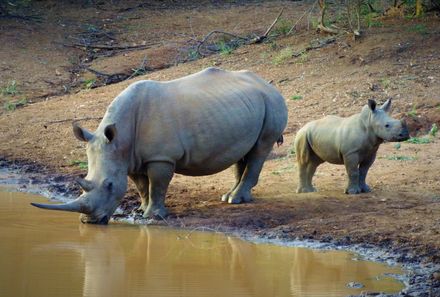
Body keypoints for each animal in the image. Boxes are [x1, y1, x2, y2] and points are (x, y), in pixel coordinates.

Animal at [30, 67, 286, 224]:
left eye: (110, 185)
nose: (89, 221)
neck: (120, 139)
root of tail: (268, 84)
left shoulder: (161, 157)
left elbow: (158, 185)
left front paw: (154, 216)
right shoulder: (131, 159)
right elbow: (142, 186)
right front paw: (142, 210)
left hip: (272, 102)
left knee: (259, 150)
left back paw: (236, 200)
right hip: (244, 108)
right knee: (243, 153)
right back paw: (228, 197)